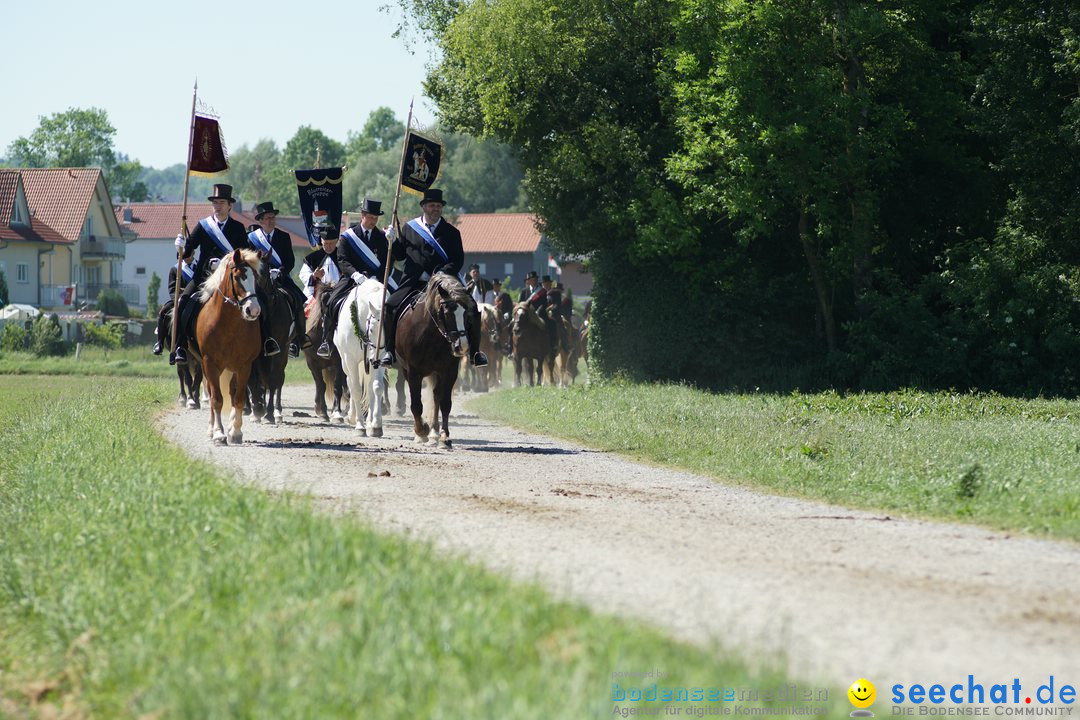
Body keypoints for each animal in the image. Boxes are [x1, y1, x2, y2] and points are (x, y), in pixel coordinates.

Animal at [187, 250, 263, 446]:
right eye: (238, 276)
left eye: (256, 277)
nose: (253, 310)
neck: (229, 325)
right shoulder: (210, 363)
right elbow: (217, 399)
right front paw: (218, 433)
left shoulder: (244, 366)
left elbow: (238, 399)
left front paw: (235, 432)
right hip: (209, 367)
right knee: (212, 393)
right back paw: (211, 429)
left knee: (232, 392)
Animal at [247, 262, 293, 425]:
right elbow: (253, 380)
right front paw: (256, 409)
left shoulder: (278, 350)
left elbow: (273, 380)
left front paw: (269, 413)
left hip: (284, 352)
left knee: (278, 378)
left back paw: (276, 412)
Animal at [336, 276, 393, 436]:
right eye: (372, 329)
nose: (376, 359)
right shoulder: (351, 360)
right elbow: (355, 389)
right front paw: (360, 426)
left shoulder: (379, 362)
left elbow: (377, 387)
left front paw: (375, 426)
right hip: (345, 362)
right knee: (350, 382)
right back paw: (353, 417)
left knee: (369, 387)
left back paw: (369, 422)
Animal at [395, 272, 475, 446]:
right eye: (447, 313)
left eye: (467, 313)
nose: (462, 346)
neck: (431, 335)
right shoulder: (413, 372)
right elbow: (416, 405)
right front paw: (420, 431)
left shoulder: (449, 371)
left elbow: (445, 403)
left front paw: (444, 436)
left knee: (436, 396)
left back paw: (435, 431)